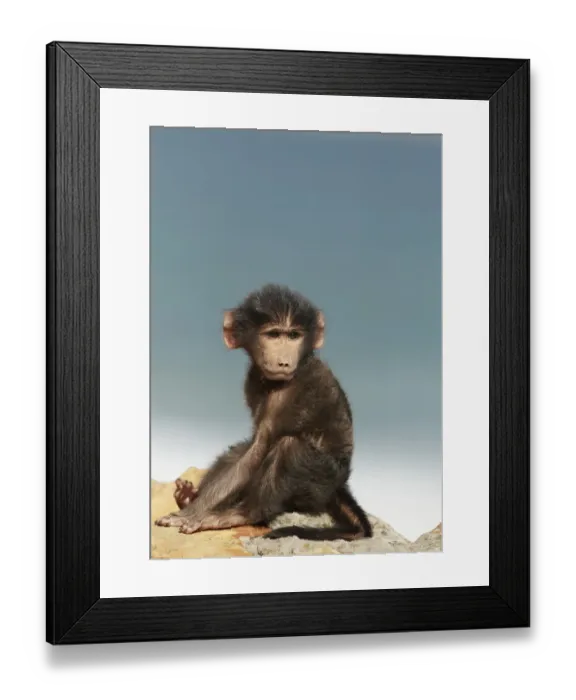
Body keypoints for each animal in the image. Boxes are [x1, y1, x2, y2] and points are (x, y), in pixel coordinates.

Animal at [155, 283, 373, 542]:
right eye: (273, 335)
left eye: (293, 335)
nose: (284, 362)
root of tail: (340, 487)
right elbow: (249, 450)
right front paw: (190, 503)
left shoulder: (285, 392)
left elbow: (259, 448)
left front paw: (192, 513)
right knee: (237, 451)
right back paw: (188, 496)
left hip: (320, 484)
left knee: (289, 446)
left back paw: (242, 514)